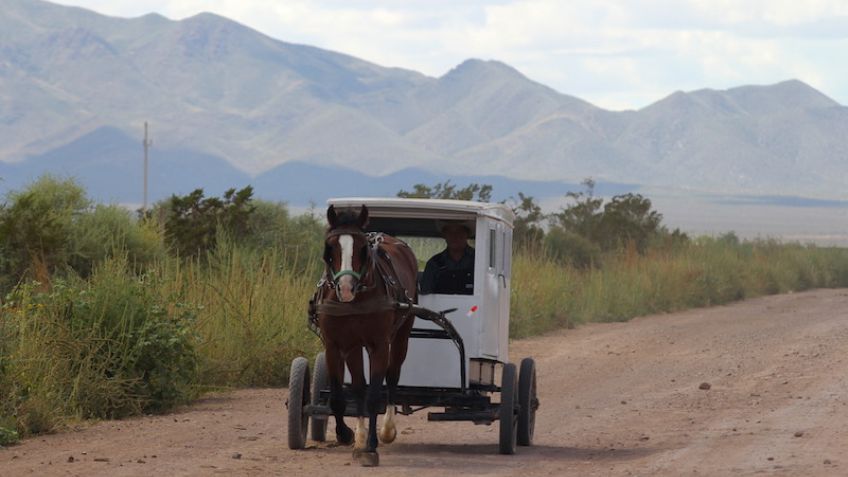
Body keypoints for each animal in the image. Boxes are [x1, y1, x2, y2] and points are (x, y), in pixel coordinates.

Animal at [314, 205, 420, 464]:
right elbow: (342, 395)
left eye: (363, 249)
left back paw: (387, 429)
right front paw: (348, 435)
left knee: (392, 377)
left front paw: (371, 446)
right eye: (329, 248)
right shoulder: (336, 345)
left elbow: (374, 395)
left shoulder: (379, 344)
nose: (346, 288)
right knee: (361, 385)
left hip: (401, 336)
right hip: (354, 347)